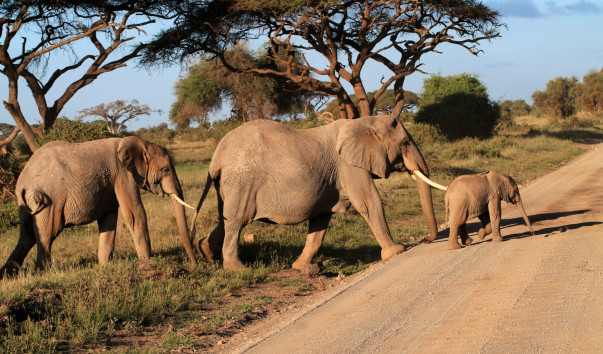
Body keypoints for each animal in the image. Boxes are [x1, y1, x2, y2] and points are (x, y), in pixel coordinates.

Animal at [0, 136, 198, 276]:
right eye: (165, 170)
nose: (196, 265)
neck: (138, 142)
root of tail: (23, 182)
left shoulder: (111, 182)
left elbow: (109, 221)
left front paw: (104, 267)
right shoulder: (122, 174)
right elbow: (135, 215)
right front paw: (147, 265)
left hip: (25, 203)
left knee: (27, 236)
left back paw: (8, 274)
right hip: (49, 200)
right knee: (46, 234)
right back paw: (43, 273)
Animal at [190, 116, 448, 272]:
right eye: (404, 143)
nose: (426, 239)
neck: (364, 122)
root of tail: (217, 156)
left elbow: (320, 221)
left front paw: (300, 267)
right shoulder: (349, 166)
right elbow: (369, 202)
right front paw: (396, 252)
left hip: (230, 185)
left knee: (225, 219)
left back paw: (206, 254)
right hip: (242, 182)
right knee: (236, 221)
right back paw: (237, 268)